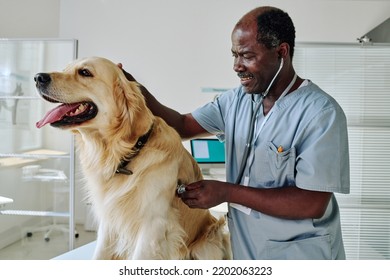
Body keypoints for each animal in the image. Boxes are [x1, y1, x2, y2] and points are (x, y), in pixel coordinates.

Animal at [34, 57, 232, 260]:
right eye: (65, 68)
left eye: (85, 72)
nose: (38, 77)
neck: (125, 153)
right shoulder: (110, 221)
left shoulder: (153, 225)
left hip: (210, 241)